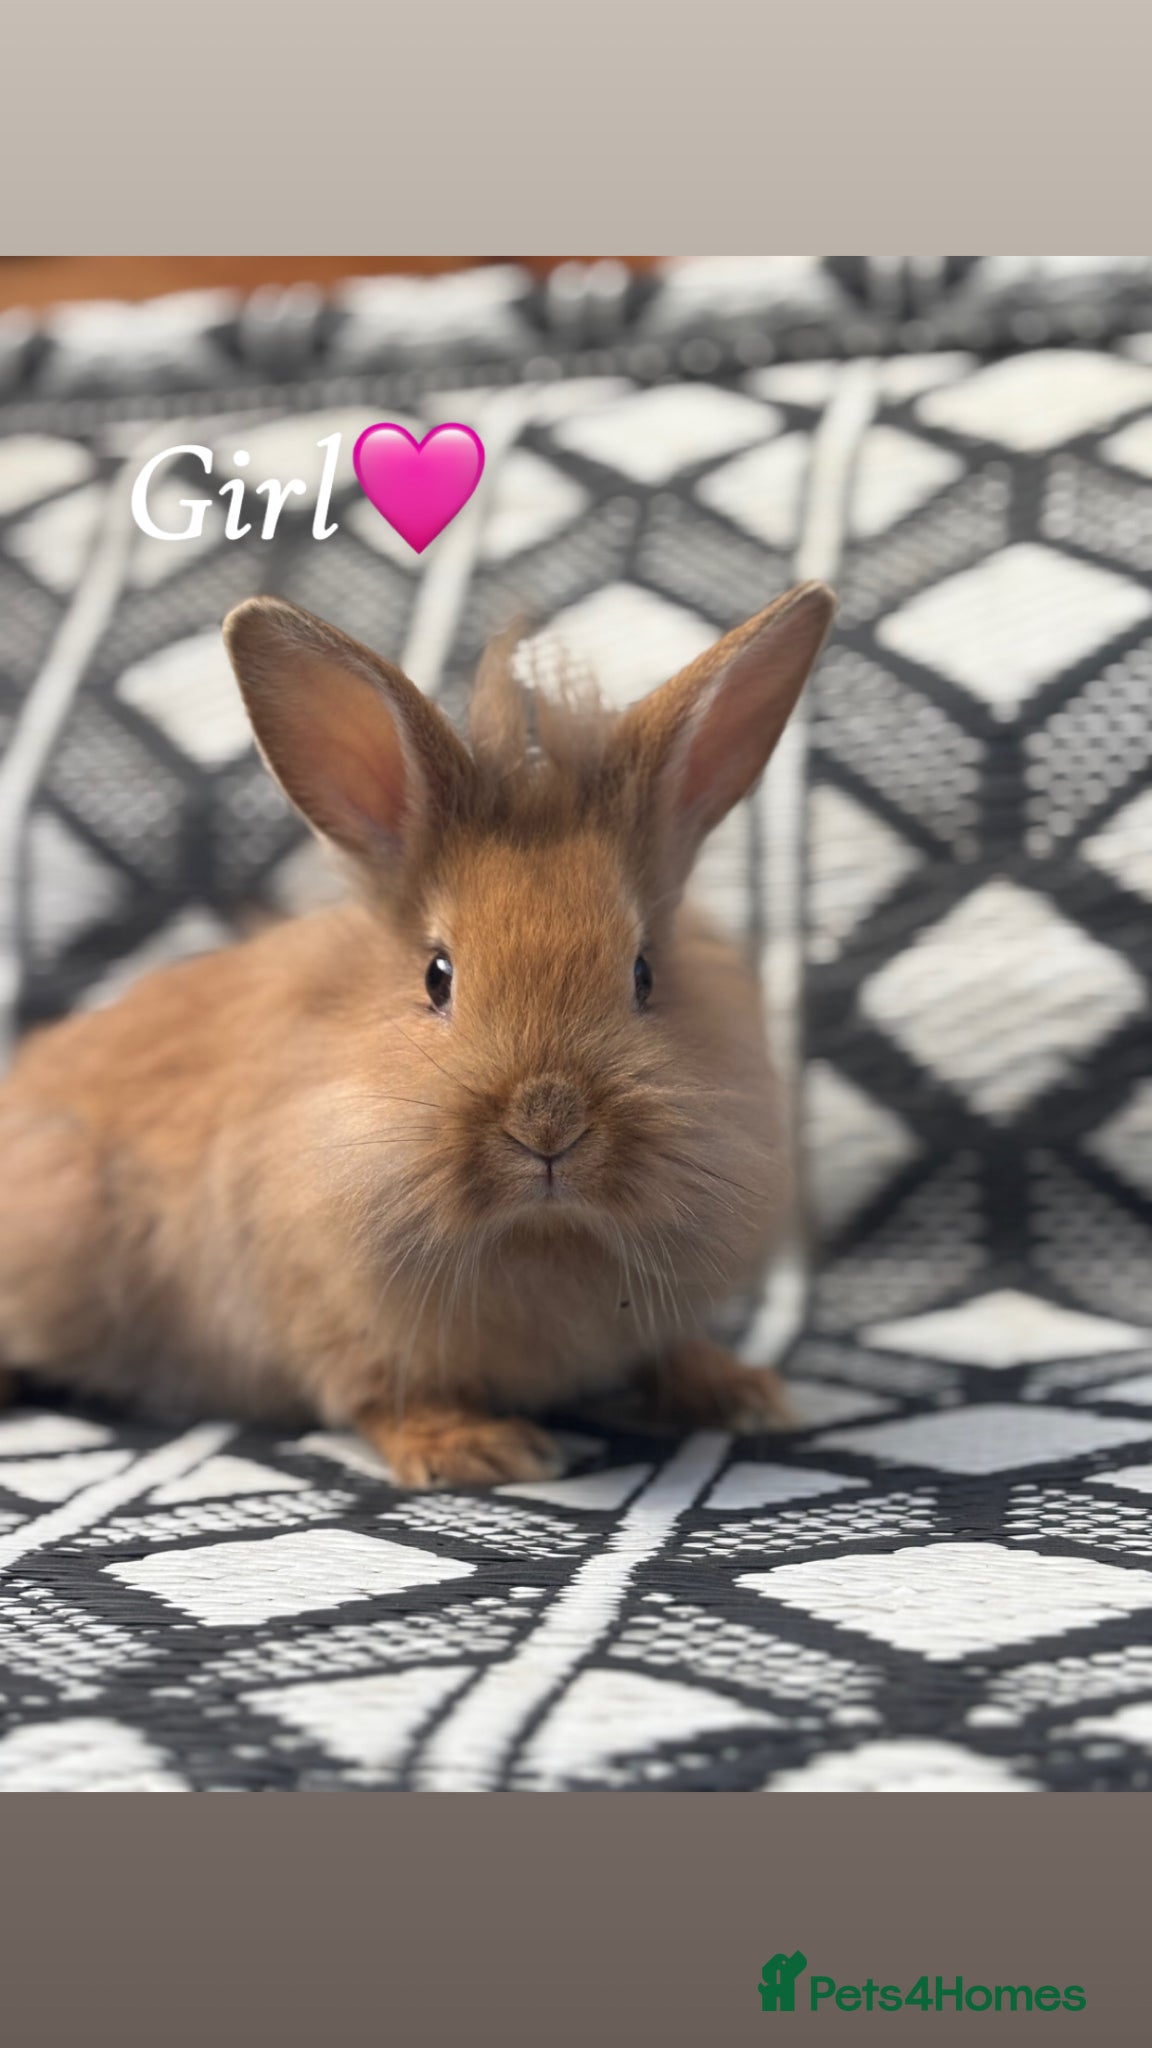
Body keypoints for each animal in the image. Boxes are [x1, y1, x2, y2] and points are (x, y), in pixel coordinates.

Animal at [0, 580, 835, 1488]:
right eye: (438, 976)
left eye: (645, 974)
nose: (549, 1124)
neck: (541, 1233)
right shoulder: (334, 1323)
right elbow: (381, 1399)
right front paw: (475, 1449)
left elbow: (670, 1351)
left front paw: (742, 1394)